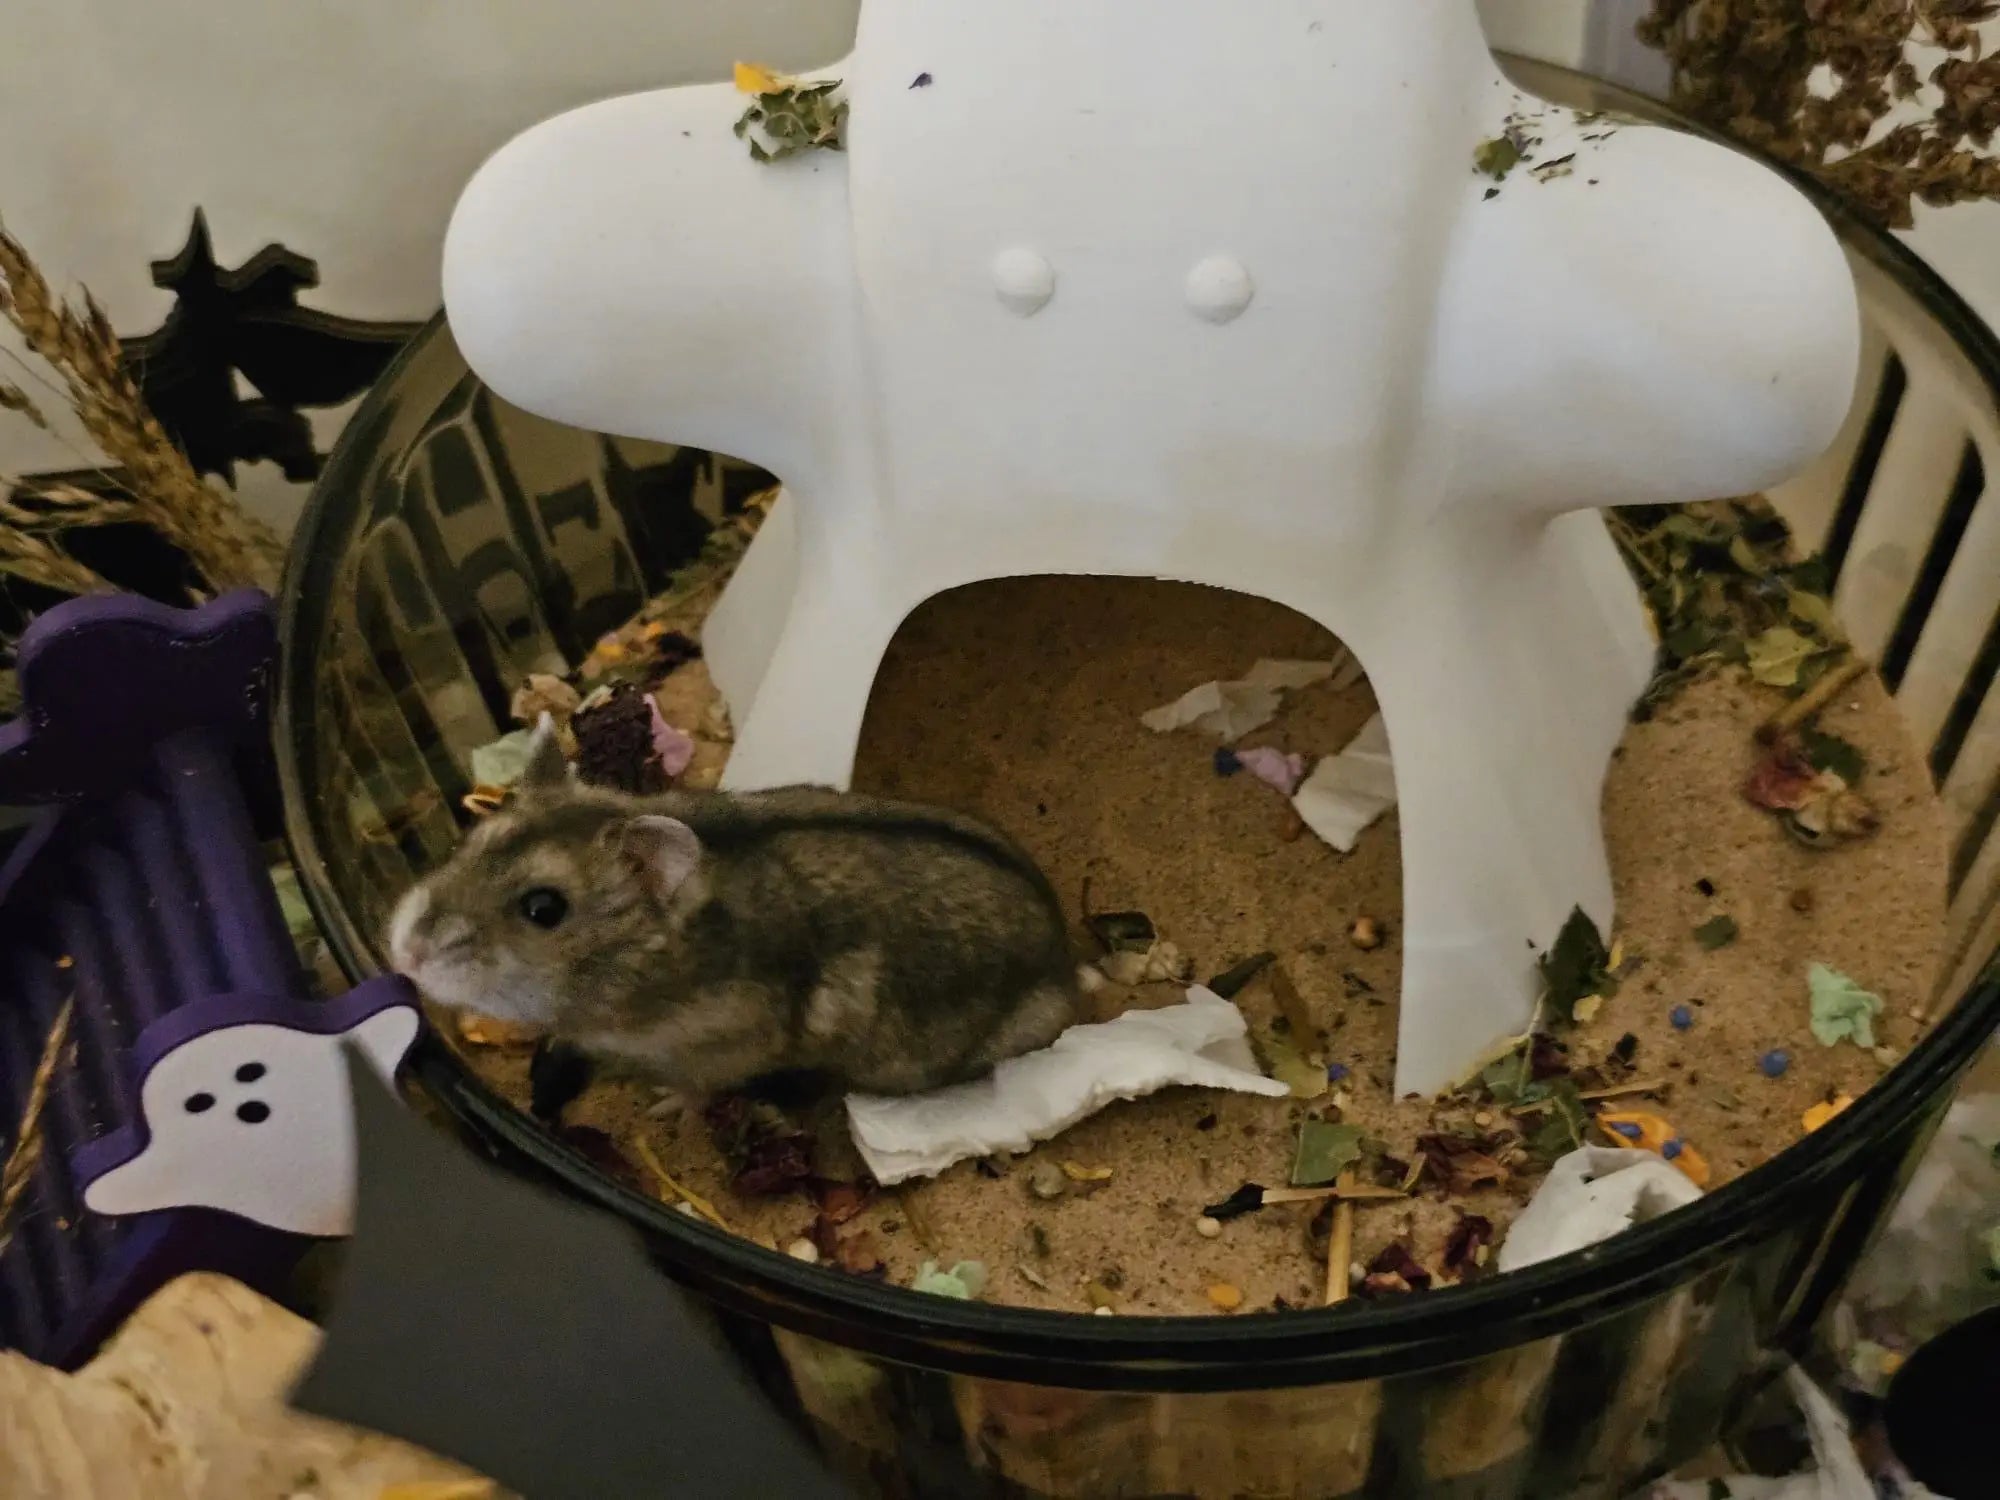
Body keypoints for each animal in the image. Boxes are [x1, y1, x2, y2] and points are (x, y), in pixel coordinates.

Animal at [387, 718, 1082, 1097]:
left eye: (543, 909)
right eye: (473, 840)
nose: (404, 954)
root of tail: (1070, 962)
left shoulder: (727, 1043)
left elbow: (692, 1087)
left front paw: (664, 1101)